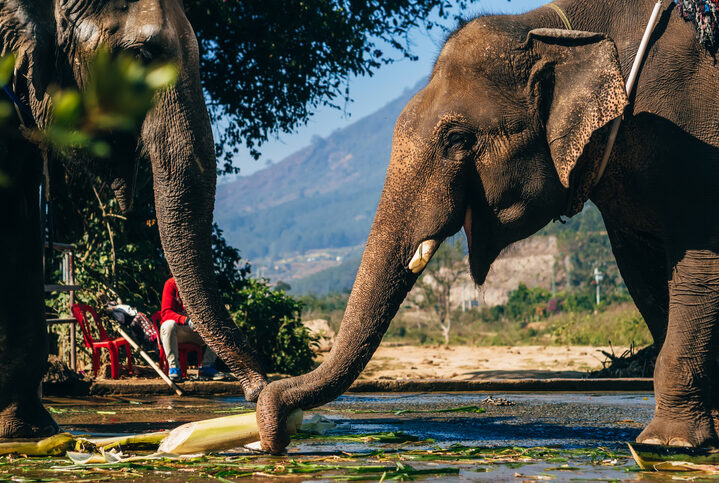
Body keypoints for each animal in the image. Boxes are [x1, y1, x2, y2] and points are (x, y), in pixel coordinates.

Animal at [258, 0, 719, 454]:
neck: (553, 28)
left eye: (457, 139)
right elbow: (643, 277)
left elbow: (699, 264)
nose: (275, 432)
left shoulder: (692, 136)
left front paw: (668, 444)